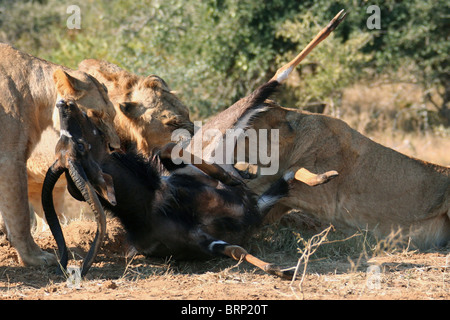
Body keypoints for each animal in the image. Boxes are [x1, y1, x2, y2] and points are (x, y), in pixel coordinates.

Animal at [0, 43, 120, 266]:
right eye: (96, 115)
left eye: (113, 115)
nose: (114, 146)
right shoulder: (9, 157)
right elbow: (19, 213)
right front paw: (34, 257)